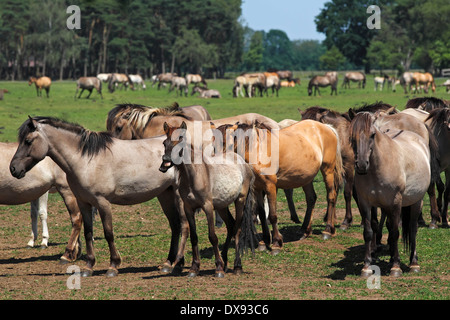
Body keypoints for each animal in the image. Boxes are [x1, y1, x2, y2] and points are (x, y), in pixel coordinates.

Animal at [10, 116, 187, 276]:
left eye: (28, 141)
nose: (13, 168)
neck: (87, 160)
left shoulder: (103, 203)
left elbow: (108, 233)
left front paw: (113, 265)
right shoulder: (84, 203)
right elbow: (88, 233)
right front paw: (89, 266)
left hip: (179, 196)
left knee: (183, 225)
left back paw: (176, 264)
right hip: (165, 195)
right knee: (175, 226)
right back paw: (168, 263)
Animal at [158, 122, 256, 278]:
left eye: (180, 141)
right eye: (164, 142)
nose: (166, 162)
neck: (195, 175)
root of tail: (243, 162)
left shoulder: (208, 207)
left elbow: (212, 236)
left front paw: (218, 269)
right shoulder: (188, 208)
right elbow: (194, 236)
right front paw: (194, 268)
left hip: (240, 201)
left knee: (237, 229)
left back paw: (237, 266)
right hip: (222, 206)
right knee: (230, 225)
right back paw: (225, 262)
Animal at [215, 119, 344, 254]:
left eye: (224, 142)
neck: (257, 149)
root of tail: (326, 127)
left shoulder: (270, 186)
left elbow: (272, 215)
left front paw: (276, 243)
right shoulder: (257, 188)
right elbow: (262, 214)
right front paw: (264, 241)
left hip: (328, 171)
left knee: (331, 196)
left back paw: (328, 230)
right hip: (307, 177)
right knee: (311, 199)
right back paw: (306, 231)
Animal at [350, 112, 430, 278]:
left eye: (372, 135)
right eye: (351, 136)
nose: (361, 165)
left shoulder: (395, 202)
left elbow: (395, 232)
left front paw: (396, 267)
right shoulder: (365, 203)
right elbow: (368, 232)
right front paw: (366, 266)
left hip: (416, 201)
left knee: (412, 228)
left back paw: (413, 263)